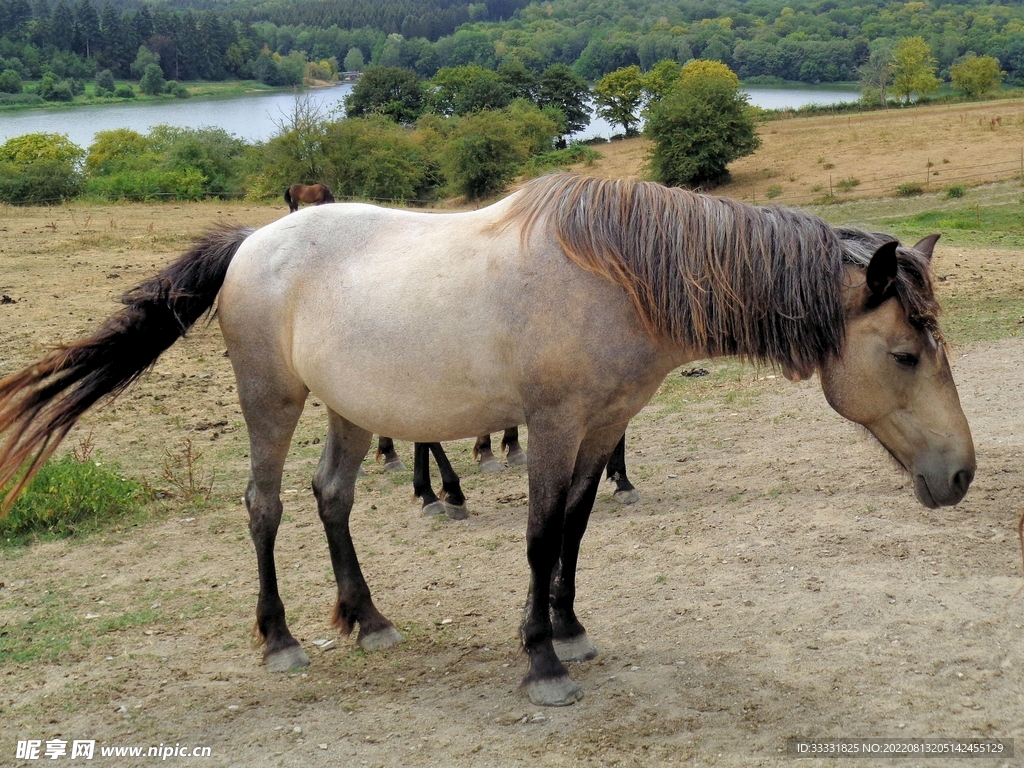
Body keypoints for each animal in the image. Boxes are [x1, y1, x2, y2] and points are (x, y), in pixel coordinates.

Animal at [0, 174, 975, 707]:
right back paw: (280, 640)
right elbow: (541, 536)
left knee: (332, 497)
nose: (961, 474)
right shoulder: (552, 425)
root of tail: (253, 240)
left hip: (353, 409)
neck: (619, 276)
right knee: (264, 505)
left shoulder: (602, 425)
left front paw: (570, 629)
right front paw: (541, 661)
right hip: (271, 401)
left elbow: (576, 529)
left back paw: (369, 618)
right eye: (903, 353)